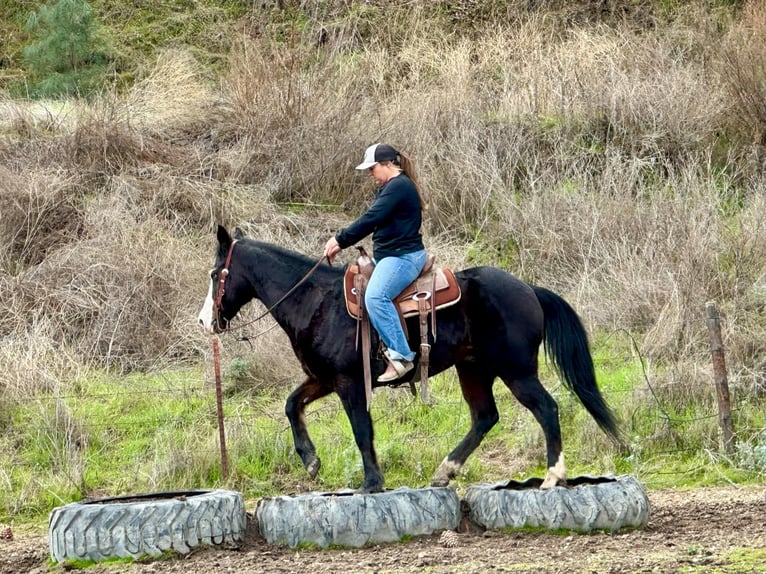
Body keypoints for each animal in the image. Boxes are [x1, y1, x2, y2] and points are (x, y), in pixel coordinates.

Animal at [200, 225, 624, 496]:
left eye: (216, 274)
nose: (205, 321)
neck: (317, 301)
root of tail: (529, 289)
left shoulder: (349, 383)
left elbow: (362, 430)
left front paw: (371, 483)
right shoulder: (323, 379)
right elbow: (292, 405)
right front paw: (311, 461)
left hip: (516, 370)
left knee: (547, 409)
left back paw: (552, 477)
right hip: (473, 369)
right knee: (485, 417)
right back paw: (444, 472)